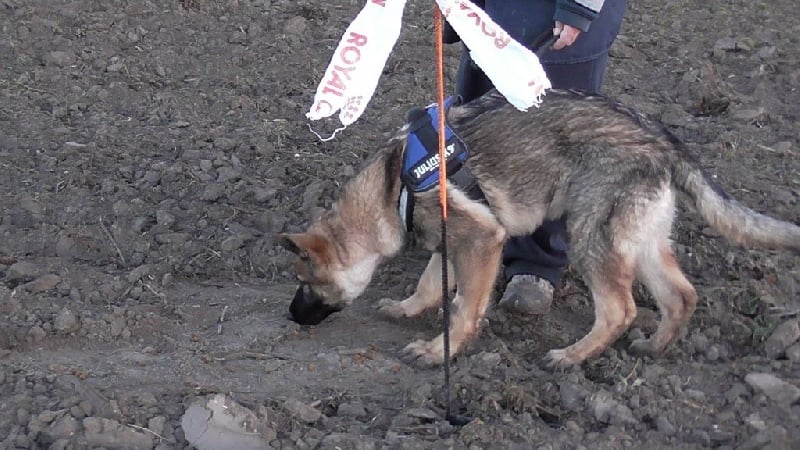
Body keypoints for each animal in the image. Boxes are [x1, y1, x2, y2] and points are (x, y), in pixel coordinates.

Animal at [282, 89, 800, 368]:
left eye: (305, 283)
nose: (290, 315)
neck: (394, 185)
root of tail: (662, 139)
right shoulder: (451, 241)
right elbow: (431, 283)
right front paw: (408, 308)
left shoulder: (483, 241)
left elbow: (463, 308)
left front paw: (438, 352)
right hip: (640, 241)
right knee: (681, 296)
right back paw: (653, 348)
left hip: (590, 238)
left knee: (620, 309)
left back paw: (571, 357)